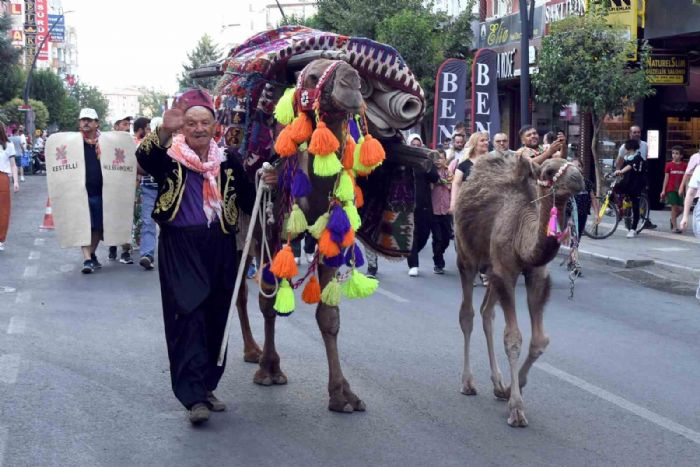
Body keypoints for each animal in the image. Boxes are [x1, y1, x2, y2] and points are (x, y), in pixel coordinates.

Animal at [202, 26, 430, 414]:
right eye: (311, 76)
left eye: (354, 74)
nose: (351, 83)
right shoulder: (273, 230)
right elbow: (269, 302)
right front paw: (270, 369)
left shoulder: (331, 238)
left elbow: (329, 316)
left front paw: (342, 394)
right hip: (239, 227)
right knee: (241, 291)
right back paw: (252, 351)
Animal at [452, 154, 584, 428]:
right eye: (549, 171)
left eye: (576, 165)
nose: (579, 178)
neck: (522, 233)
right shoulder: (505, 271)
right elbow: (513, 338)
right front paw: (516, 409)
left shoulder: (536, 274)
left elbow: (540, 340)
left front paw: (512, 389)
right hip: (467, 257)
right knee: (467, 314)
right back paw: (467, 382)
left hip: (491, 270)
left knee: (486, 312)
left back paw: (498, 383)